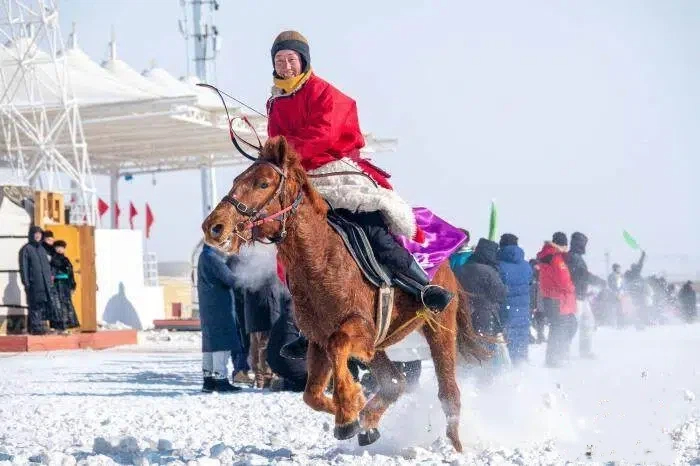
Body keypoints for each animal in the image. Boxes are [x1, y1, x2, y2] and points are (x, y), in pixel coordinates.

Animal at [202, 136, 486, 452]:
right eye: (237, 179)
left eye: (263, 183)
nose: (214, 227)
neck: (321, 260)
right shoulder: (319, 340)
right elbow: (312, 394)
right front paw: (352, 412)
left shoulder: (357, 327)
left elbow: (338, 346)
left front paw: (349, 412)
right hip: (378, 346)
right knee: (395, 381)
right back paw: (369, 422)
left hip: (440, 327)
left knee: (448, 392)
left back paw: (454, 446)